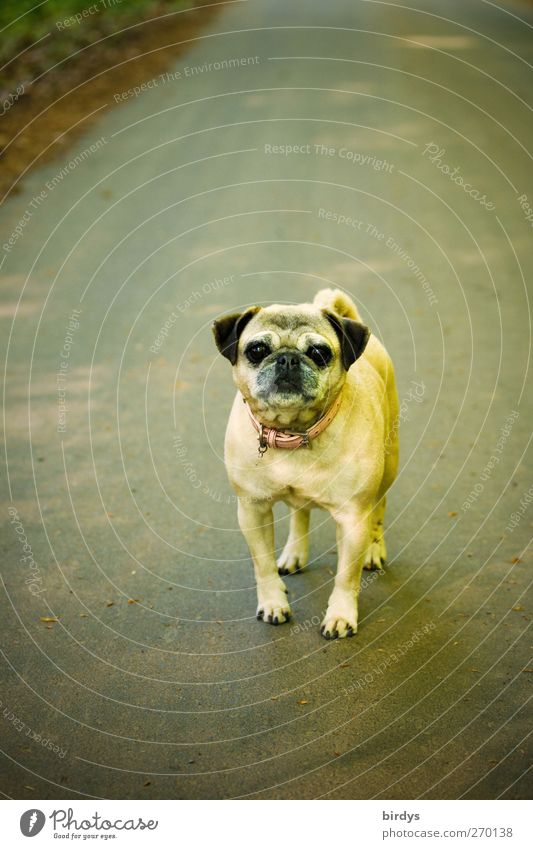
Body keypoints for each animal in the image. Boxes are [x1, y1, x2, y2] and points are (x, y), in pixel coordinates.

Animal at [210, 290, 396, 636]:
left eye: (319, 353)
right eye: (257, 350)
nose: (287, 359)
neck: (293, 433)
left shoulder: (353, 518)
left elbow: (346, 576)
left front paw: (341, 615)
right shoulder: (252, 511)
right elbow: (263, 565)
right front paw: (273, 603)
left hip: (389, 465)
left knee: (379, 507)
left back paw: (374, 550)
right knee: (300, 512)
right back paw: (294, 553)